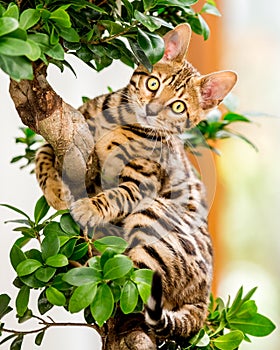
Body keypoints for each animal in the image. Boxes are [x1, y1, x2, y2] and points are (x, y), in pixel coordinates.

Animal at [35, 23, 236, 342]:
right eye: (153, 84)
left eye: (178, 107)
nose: (152, 110)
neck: (118, 120)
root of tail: (204, 302)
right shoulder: (76, 130)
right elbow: (42, 153)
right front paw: (54, 189)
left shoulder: (143, 180)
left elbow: (117, 195)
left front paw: (89, 208)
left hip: (155, 218)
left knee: (132, 280)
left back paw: (85, 268)